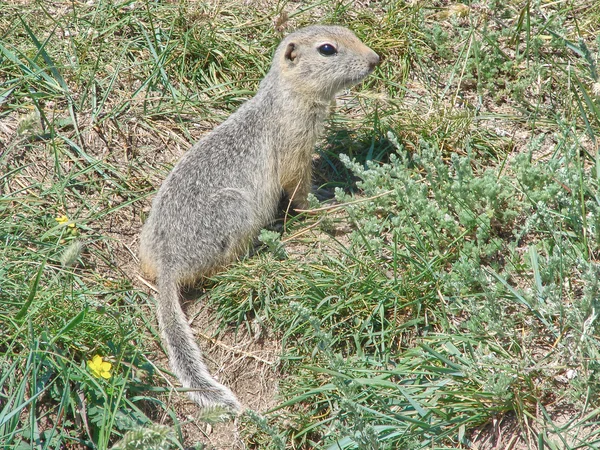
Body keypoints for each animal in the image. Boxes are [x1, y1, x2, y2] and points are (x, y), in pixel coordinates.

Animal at [138, 24, 378, 412]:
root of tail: (166, 265)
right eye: (327, 49)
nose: (375, 59)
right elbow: (297, 186)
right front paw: (325, 204)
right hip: (235, 212)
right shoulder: (295, 140)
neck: (283, 96)